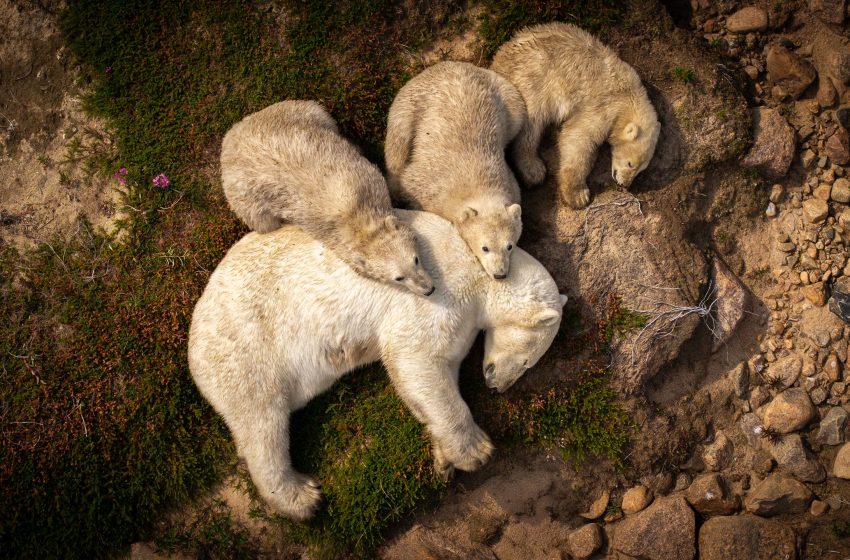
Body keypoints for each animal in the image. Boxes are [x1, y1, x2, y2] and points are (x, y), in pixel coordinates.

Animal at [188, 209, 566, 520]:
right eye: (529, 360)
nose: (498, 386)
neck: (480, 267)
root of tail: (193, 337)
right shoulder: (440, 290)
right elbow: (415, 356)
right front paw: (475, 451)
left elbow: (432, 378)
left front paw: (443, 459)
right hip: (248, 348)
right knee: (262, 422)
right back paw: (301, 496)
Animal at [220, 100, 434, 296]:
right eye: (399, 278)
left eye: (415, 260)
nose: (428, 290)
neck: (356, 216)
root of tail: (230, 136)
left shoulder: (367, 177)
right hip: (243, 195)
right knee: (263, 222)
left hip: (292, 113)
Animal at [385, 61, 527, 280]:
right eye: (485, 248)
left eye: (509, 246)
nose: (500, 274)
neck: (477, 178)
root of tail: (453, 64)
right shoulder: (427, 184)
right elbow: (408, 184)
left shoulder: (510, 182)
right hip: (410, 104)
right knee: (397, 146)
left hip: (507, 97)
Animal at [490, 22, 661, 209]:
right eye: (630, 163)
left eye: (641, 170)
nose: (625, 184)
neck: (628, 95)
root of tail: (498, 60)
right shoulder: (603, 105)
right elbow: (577, 138)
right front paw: (578, 195)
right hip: (531, 79)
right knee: (531, 124)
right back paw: (533, 169)